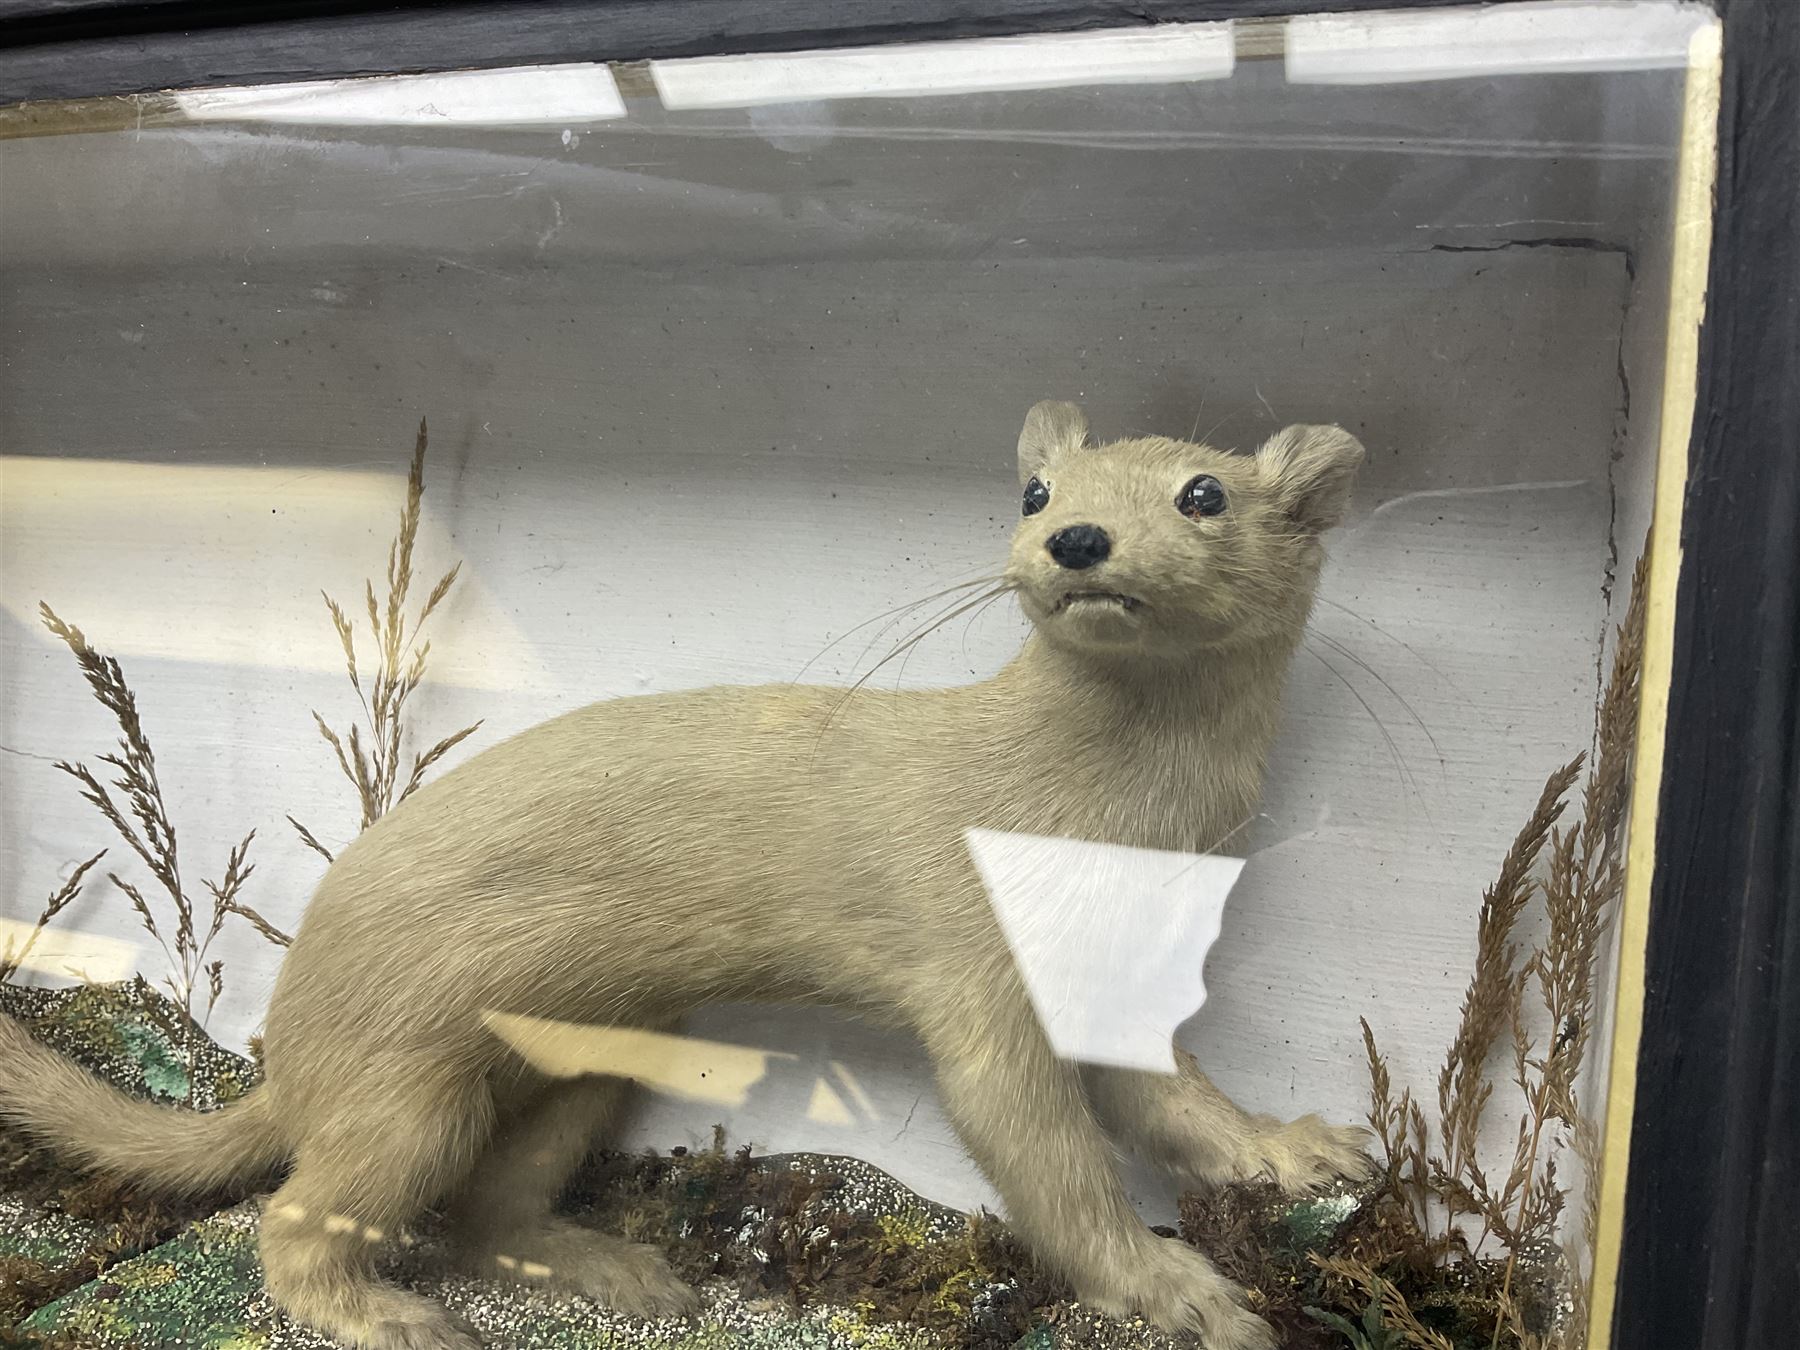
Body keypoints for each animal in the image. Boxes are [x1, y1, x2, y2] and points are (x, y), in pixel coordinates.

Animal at [1, 401, 1371, 1350]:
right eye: (1036, 490)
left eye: (1204, 491)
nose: (1079, 538)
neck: (1123, 835)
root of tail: (288, 1039)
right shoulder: (979, 975)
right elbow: (1050, 1161)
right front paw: (1186, 1292)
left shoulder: (1118, 978)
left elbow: (1181, 1105)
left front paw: (1299, 1153)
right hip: (408, 1088)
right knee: (299, 1220)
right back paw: (392, 1315)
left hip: (588, 1064)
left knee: (490, 1213)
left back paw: (615, 1268)